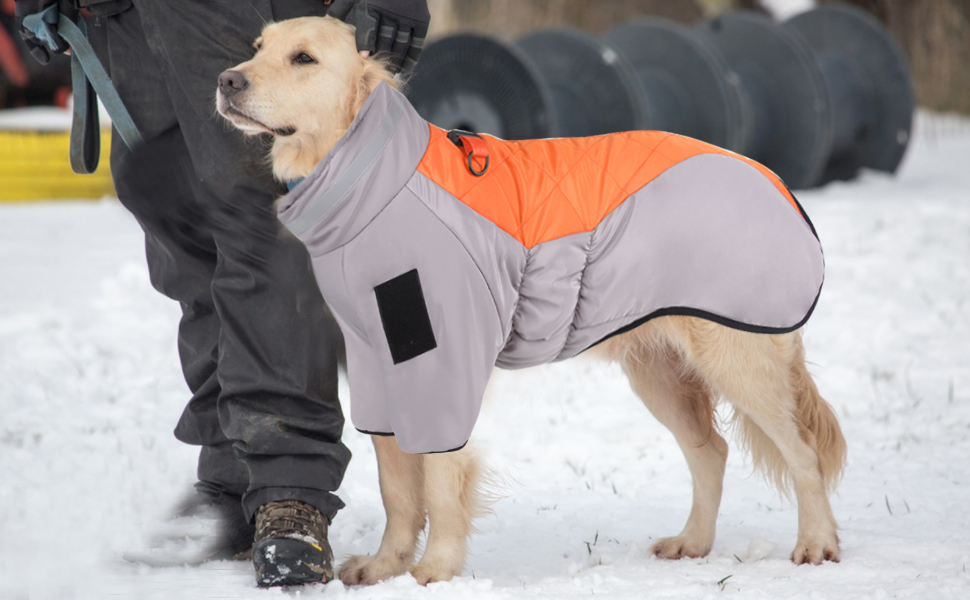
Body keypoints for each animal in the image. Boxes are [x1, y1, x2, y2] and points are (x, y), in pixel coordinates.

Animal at [216, 16, 844, 588]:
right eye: (258, 47)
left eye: (303, 58)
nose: (226, 80)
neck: (376, 180)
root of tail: (771, 178)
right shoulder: (377, 362)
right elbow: (396, 486)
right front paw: (385, 565)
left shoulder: (441, 362)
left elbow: (439, 483)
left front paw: (435, 570)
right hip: (659, 371)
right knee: (711, 450)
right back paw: (693, 541)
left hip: (739, 356)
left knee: (805, 454)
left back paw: (816, 543)